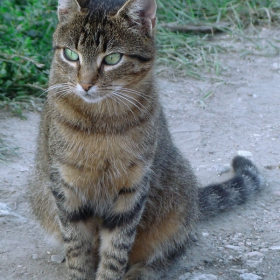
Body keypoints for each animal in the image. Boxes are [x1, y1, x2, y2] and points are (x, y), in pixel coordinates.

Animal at [29, 0, 264, 280]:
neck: (101, 124)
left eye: (112, 58)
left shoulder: (133, 185)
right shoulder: (66, 187)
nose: (85, 85)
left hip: (176, 207)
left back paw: (144, 270)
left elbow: (116, 251)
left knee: (175, 247)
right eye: (71, 55)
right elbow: (77, 249)